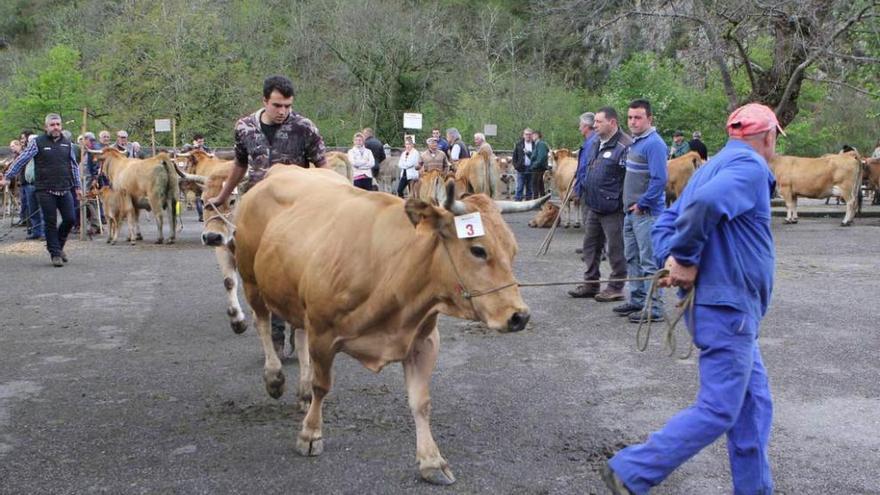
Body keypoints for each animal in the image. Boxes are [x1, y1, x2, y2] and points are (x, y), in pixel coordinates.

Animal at [232, 165, 552, 486]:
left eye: (513, 250)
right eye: (478, 250)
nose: (519, 316)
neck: (392, 268)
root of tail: (282, 169)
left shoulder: (422, 341)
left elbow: (420, 402)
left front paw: (431, 460)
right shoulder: (322, 331)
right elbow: (323, 385)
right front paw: (310, 434)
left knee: (297, 334)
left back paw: (302, 392)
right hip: (250, 280)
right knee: (262, 323)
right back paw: (274, 378)